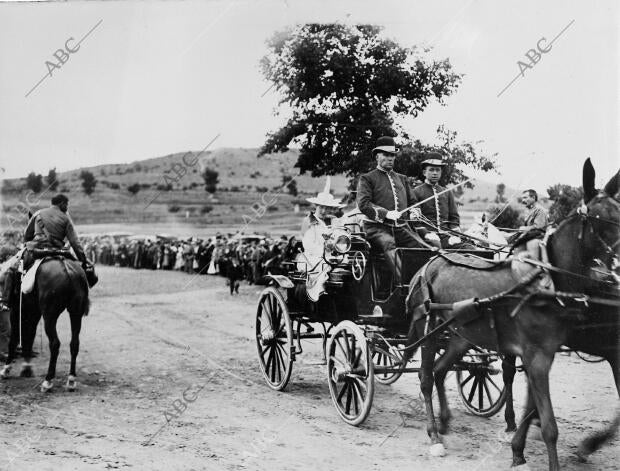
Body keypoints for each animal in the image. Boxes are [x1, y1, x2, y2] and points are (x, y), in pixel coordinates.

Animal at [0, 256, 89, 392]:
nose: (3, 302)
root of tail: (68, 269)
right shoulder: (34, 312)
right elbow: (29, 337)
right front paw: (26, 367)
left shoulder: (16, 311)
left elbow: (13, 340)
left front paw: (6, 369)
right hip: (75, 313)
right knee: (74, 344)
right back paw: (71, 380)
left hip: (49, 316)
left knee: (55, 343)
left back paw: (48, 381)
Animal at [404, 160, 616, 470]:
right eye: (601, 219)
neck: (545, 279)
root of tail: (428, 264)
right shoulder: (536, 355)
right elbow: (548, 423)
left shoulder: (541, 354)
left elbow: (530, 403)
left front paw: (518, 444)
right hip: (427, 328)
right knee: (426, 377)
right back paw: (433, 435)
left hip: (462, 335)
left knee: (441, 369)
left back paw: (444, 423)